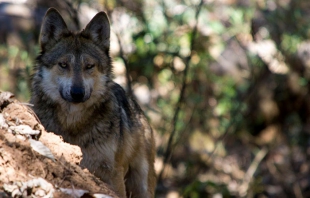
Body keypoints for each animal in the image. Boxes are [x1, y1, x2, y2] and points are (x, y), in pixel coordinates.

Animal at [30, 7, 156, 196]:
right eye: (63, 64)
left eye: (89, 66)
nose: (77, 93)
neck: (73, 123)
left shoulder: (113, 173)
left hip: (142, 183)